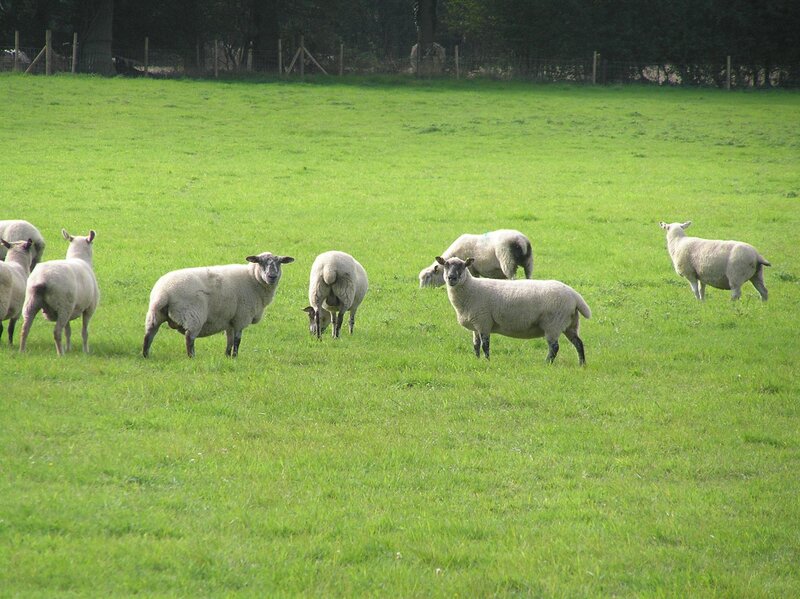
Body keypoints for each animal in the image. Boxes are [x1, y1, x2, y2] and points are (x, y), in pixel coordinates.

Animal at [143, 252, 294, 358]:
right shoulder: (241, 317)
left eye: (280, 262)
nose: (272, 276)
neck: (253, 279)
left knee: (149, 334)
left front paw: (227, 356)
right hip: (193, 315)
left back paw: (145, 355)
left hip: (155, 314)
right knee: (189, 338)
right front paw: (235, 357)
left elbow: (229, 340)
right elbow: (237, 340)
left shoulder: (230, 320)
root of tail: (163, 293)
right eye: (260, 262)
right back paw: (192, 357)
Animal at [435, 256, 591, 365]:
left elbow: (485, 345)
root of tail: (574, 295)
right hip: (570, 324)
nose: (451, 278)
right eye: (446, 265)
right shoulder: (476, 324)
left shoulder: (483, 322)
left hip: (553, 324)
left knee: (554, 347)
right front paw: (477, 360)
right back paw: (582, 364)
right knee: (578, 343)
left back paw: (547, 363)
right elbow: (476, 345)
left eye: (462, 266)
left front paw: (487, 361)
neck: (471, 289)